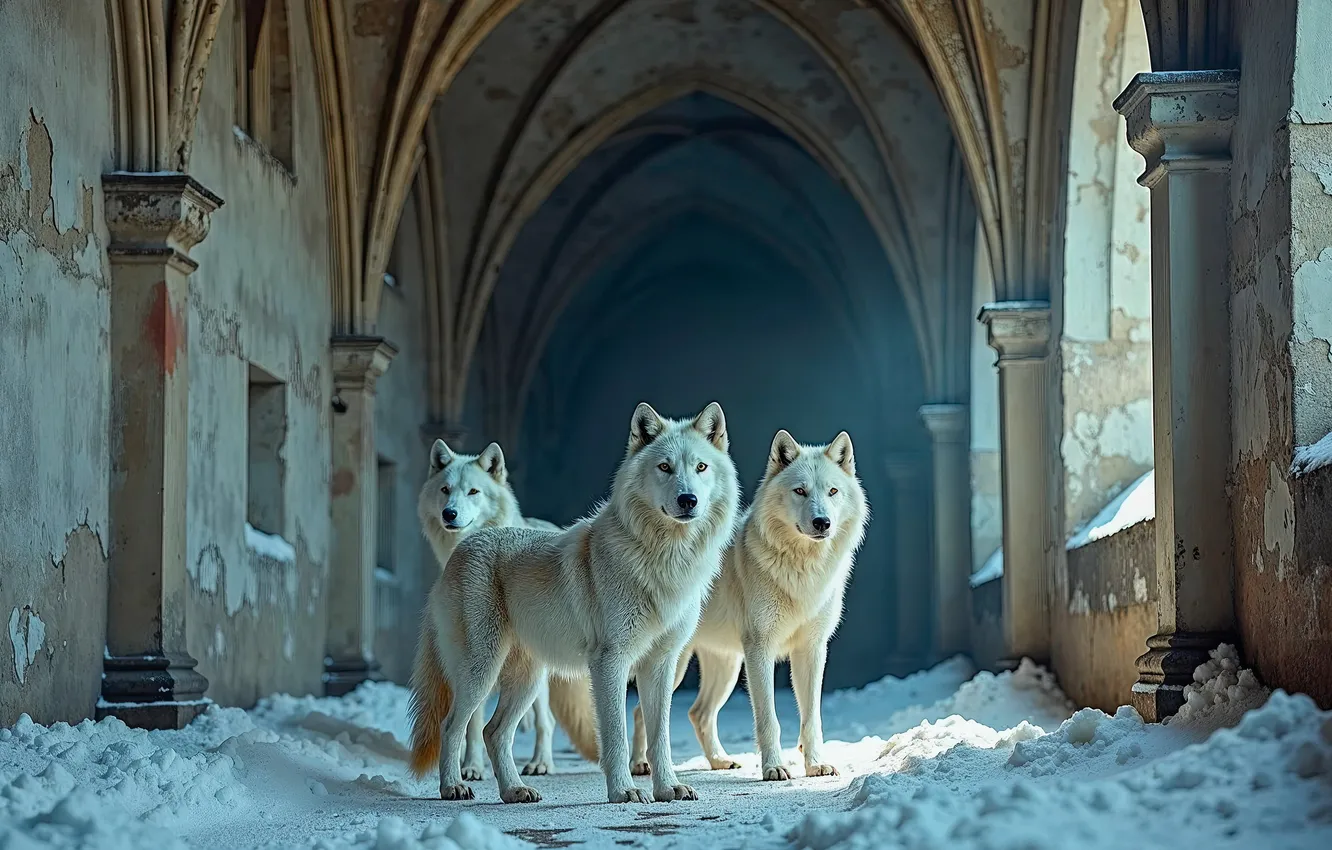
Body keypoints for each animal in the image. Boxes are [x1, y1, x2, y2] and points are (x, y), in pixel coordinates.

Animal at [417, 439, 562, 779]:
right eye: (445, 490)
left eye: (473, 492)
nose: (450, 513)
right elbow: (472, 725)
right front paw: (470, 765)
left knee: (545, 719)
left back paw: (540, 762)